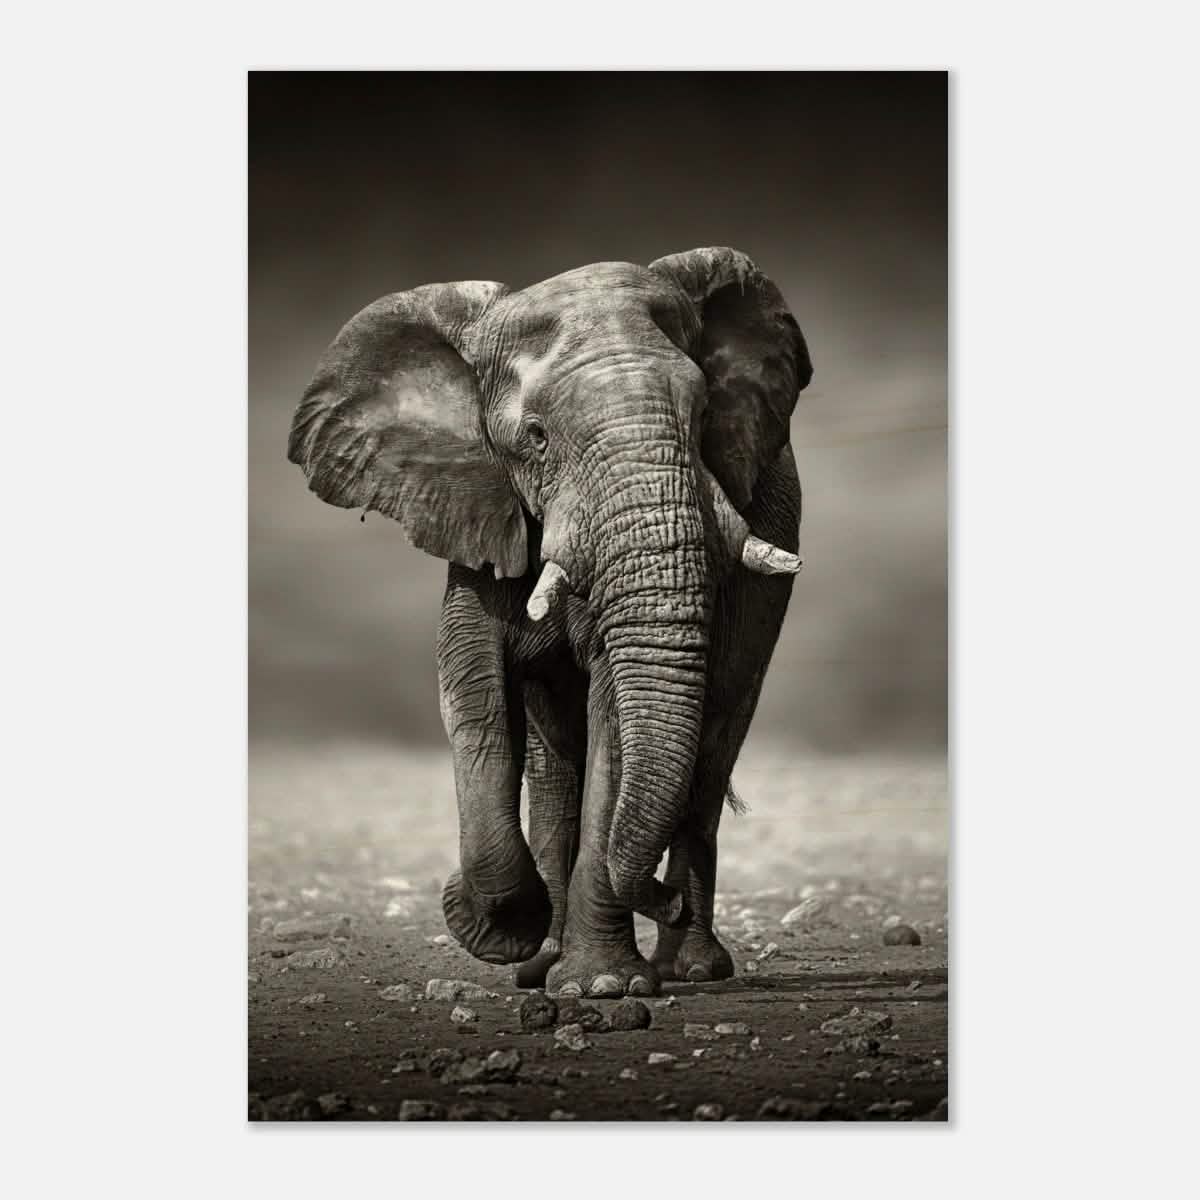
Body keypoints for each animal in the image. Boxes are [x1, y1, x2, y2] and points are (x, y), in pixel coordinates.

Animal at [287, 247, 812, 998]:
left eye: (705, 412)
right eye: (534, 438)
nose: (660, 898)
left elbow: (614, 717)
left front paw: (603, 987)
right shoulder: (478, 510)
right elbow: (473, 695)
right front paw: (501, 928)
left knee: (710, 751)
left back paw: (688, 967)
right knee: (554, 765)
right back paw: (543, 964)